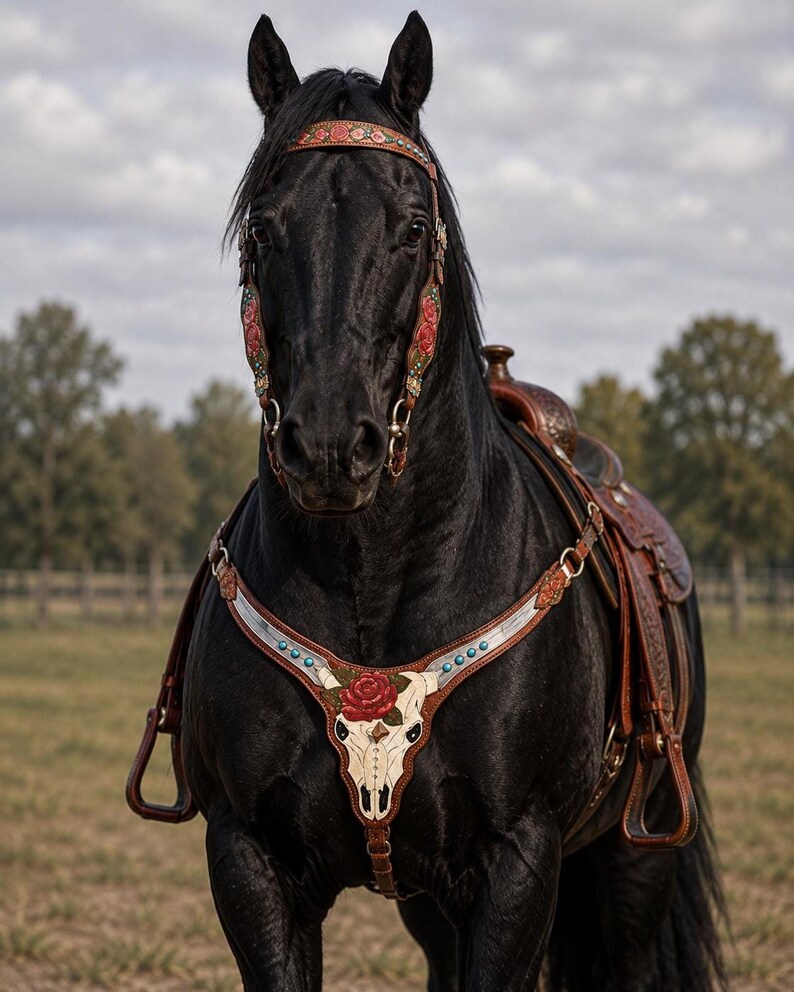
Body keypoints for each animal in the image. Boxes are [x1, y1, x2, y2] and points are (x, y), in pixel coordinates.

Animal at [177, 13, 727, 991]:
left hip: (636, 859)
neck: (374, 592)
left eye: (411, 226)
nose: (329, 445)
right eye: (265, 230)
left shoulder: (518, 867)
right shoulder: (250, 862)